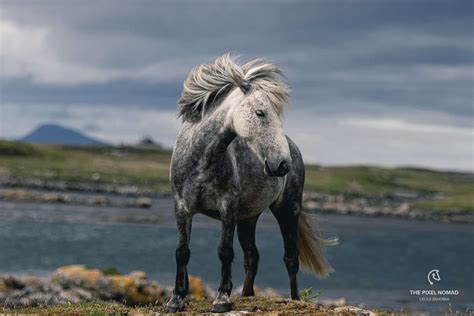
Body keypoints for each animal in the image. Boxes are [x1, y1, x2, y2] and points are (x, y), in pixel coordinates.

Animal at [167, 55, 336, 314]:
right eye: (260, 112)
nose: (282, 164)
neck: (201, 159)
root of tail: (294, 149)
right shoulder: (182, 207)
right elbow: (181, 251)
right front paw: (176, 299)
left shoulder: (227, 207)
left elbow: (225, 251)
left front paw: (222, 300)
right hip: (248, 219)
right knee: (251, 257)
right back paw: (247, 295)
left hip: (287, 210)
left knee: (290, 257)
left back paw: (295, 300)